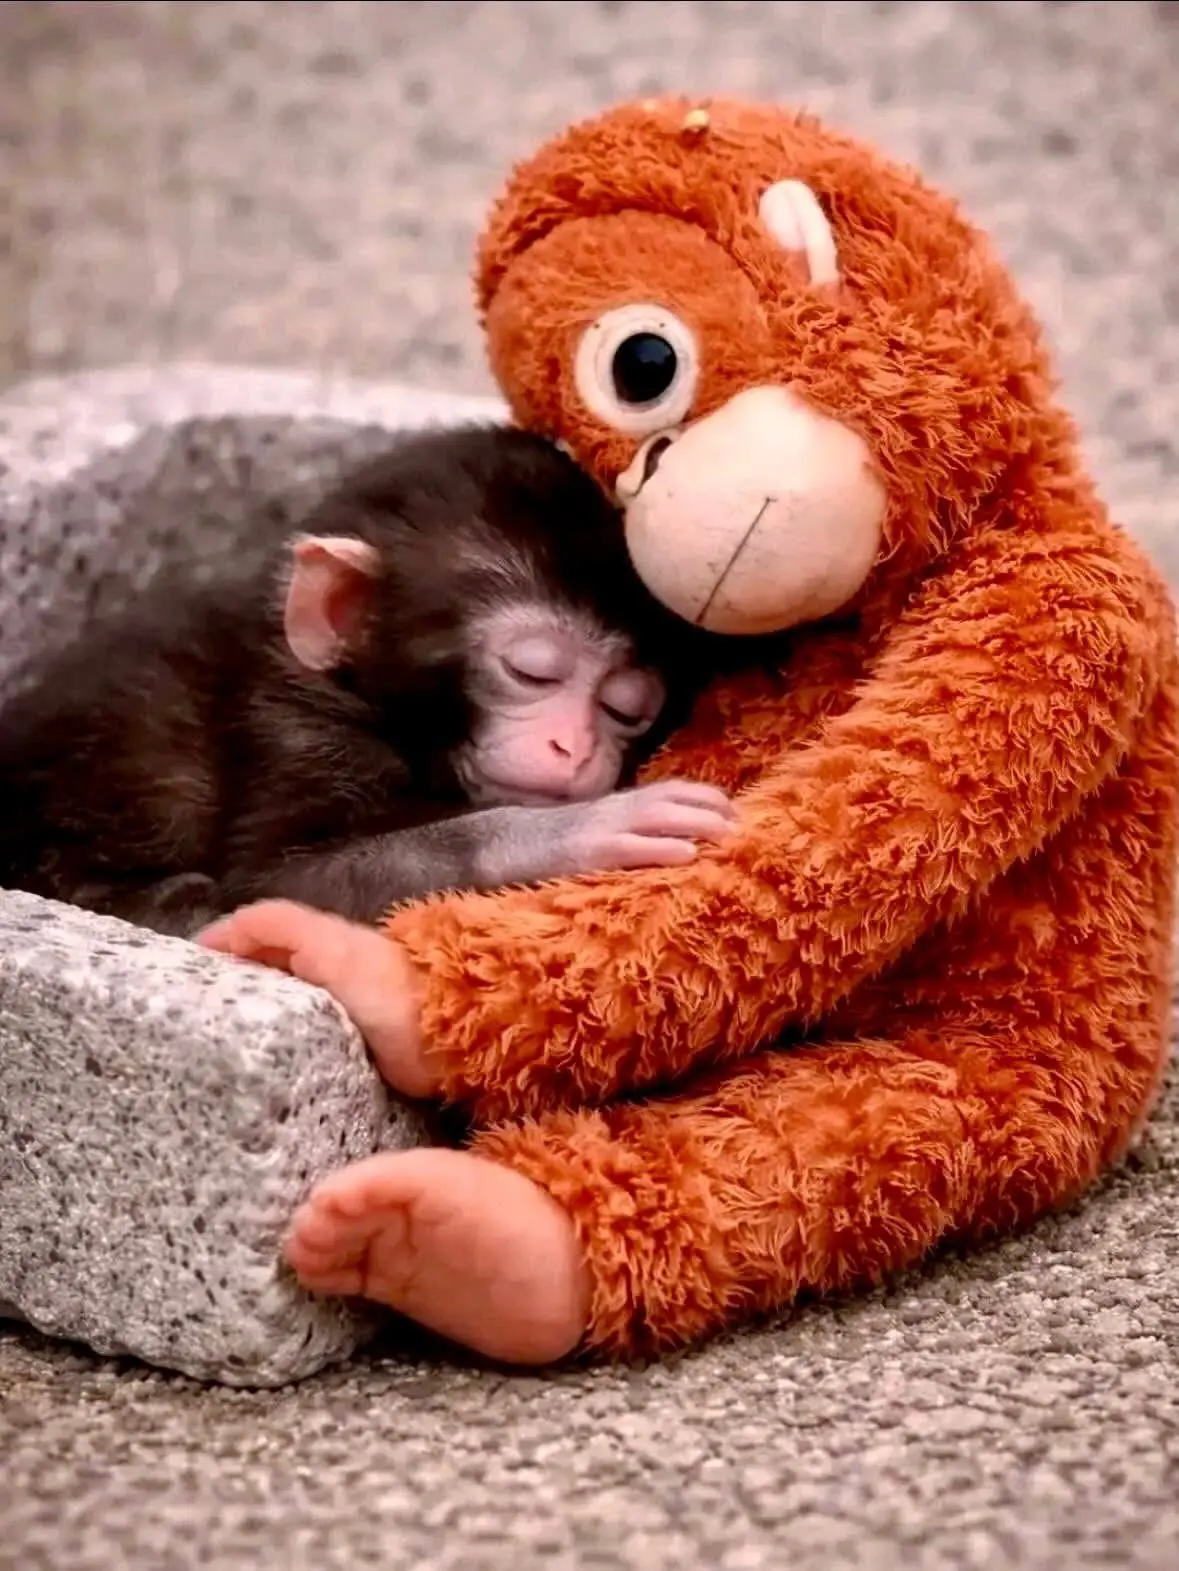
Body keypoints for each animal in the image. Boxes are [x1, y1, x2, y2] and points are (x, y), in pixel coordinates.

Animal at [0, 425, 735, 938]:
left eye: (627, 708)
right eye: (531, 671)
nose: (574, 749)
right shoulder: (293, 732)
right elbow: (278, 885)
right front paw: (576, 831)